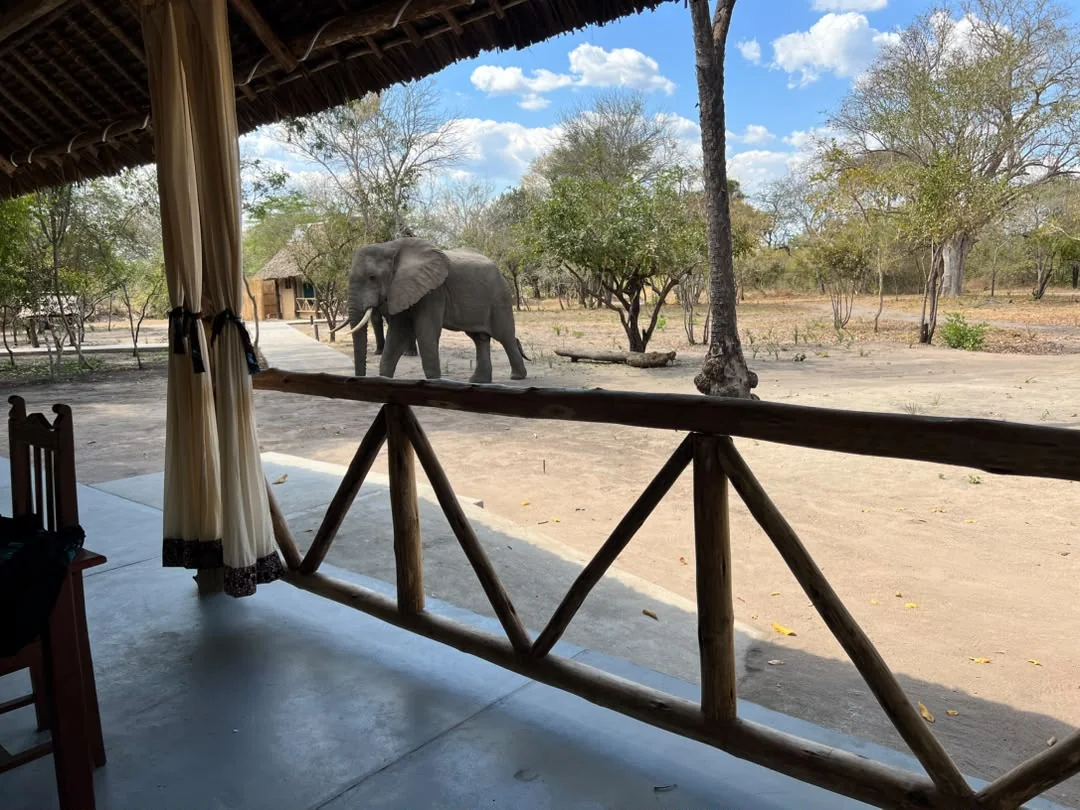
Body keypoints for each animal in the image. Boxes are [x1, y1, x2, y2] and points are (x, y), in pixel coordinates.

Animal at [333, 237, 529, 383]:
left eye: (372, 277)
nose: (359, 379)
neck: (390, 247)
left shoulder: (433, 291)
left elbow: (426, 332)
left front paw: (435, 382)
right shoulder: (402, 289)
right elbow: (397, 334)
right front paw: (384, 380)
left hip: (500, 297)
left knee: (504, 336)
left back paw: (517, 377)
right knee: (479, 338)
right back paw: (478, 381)